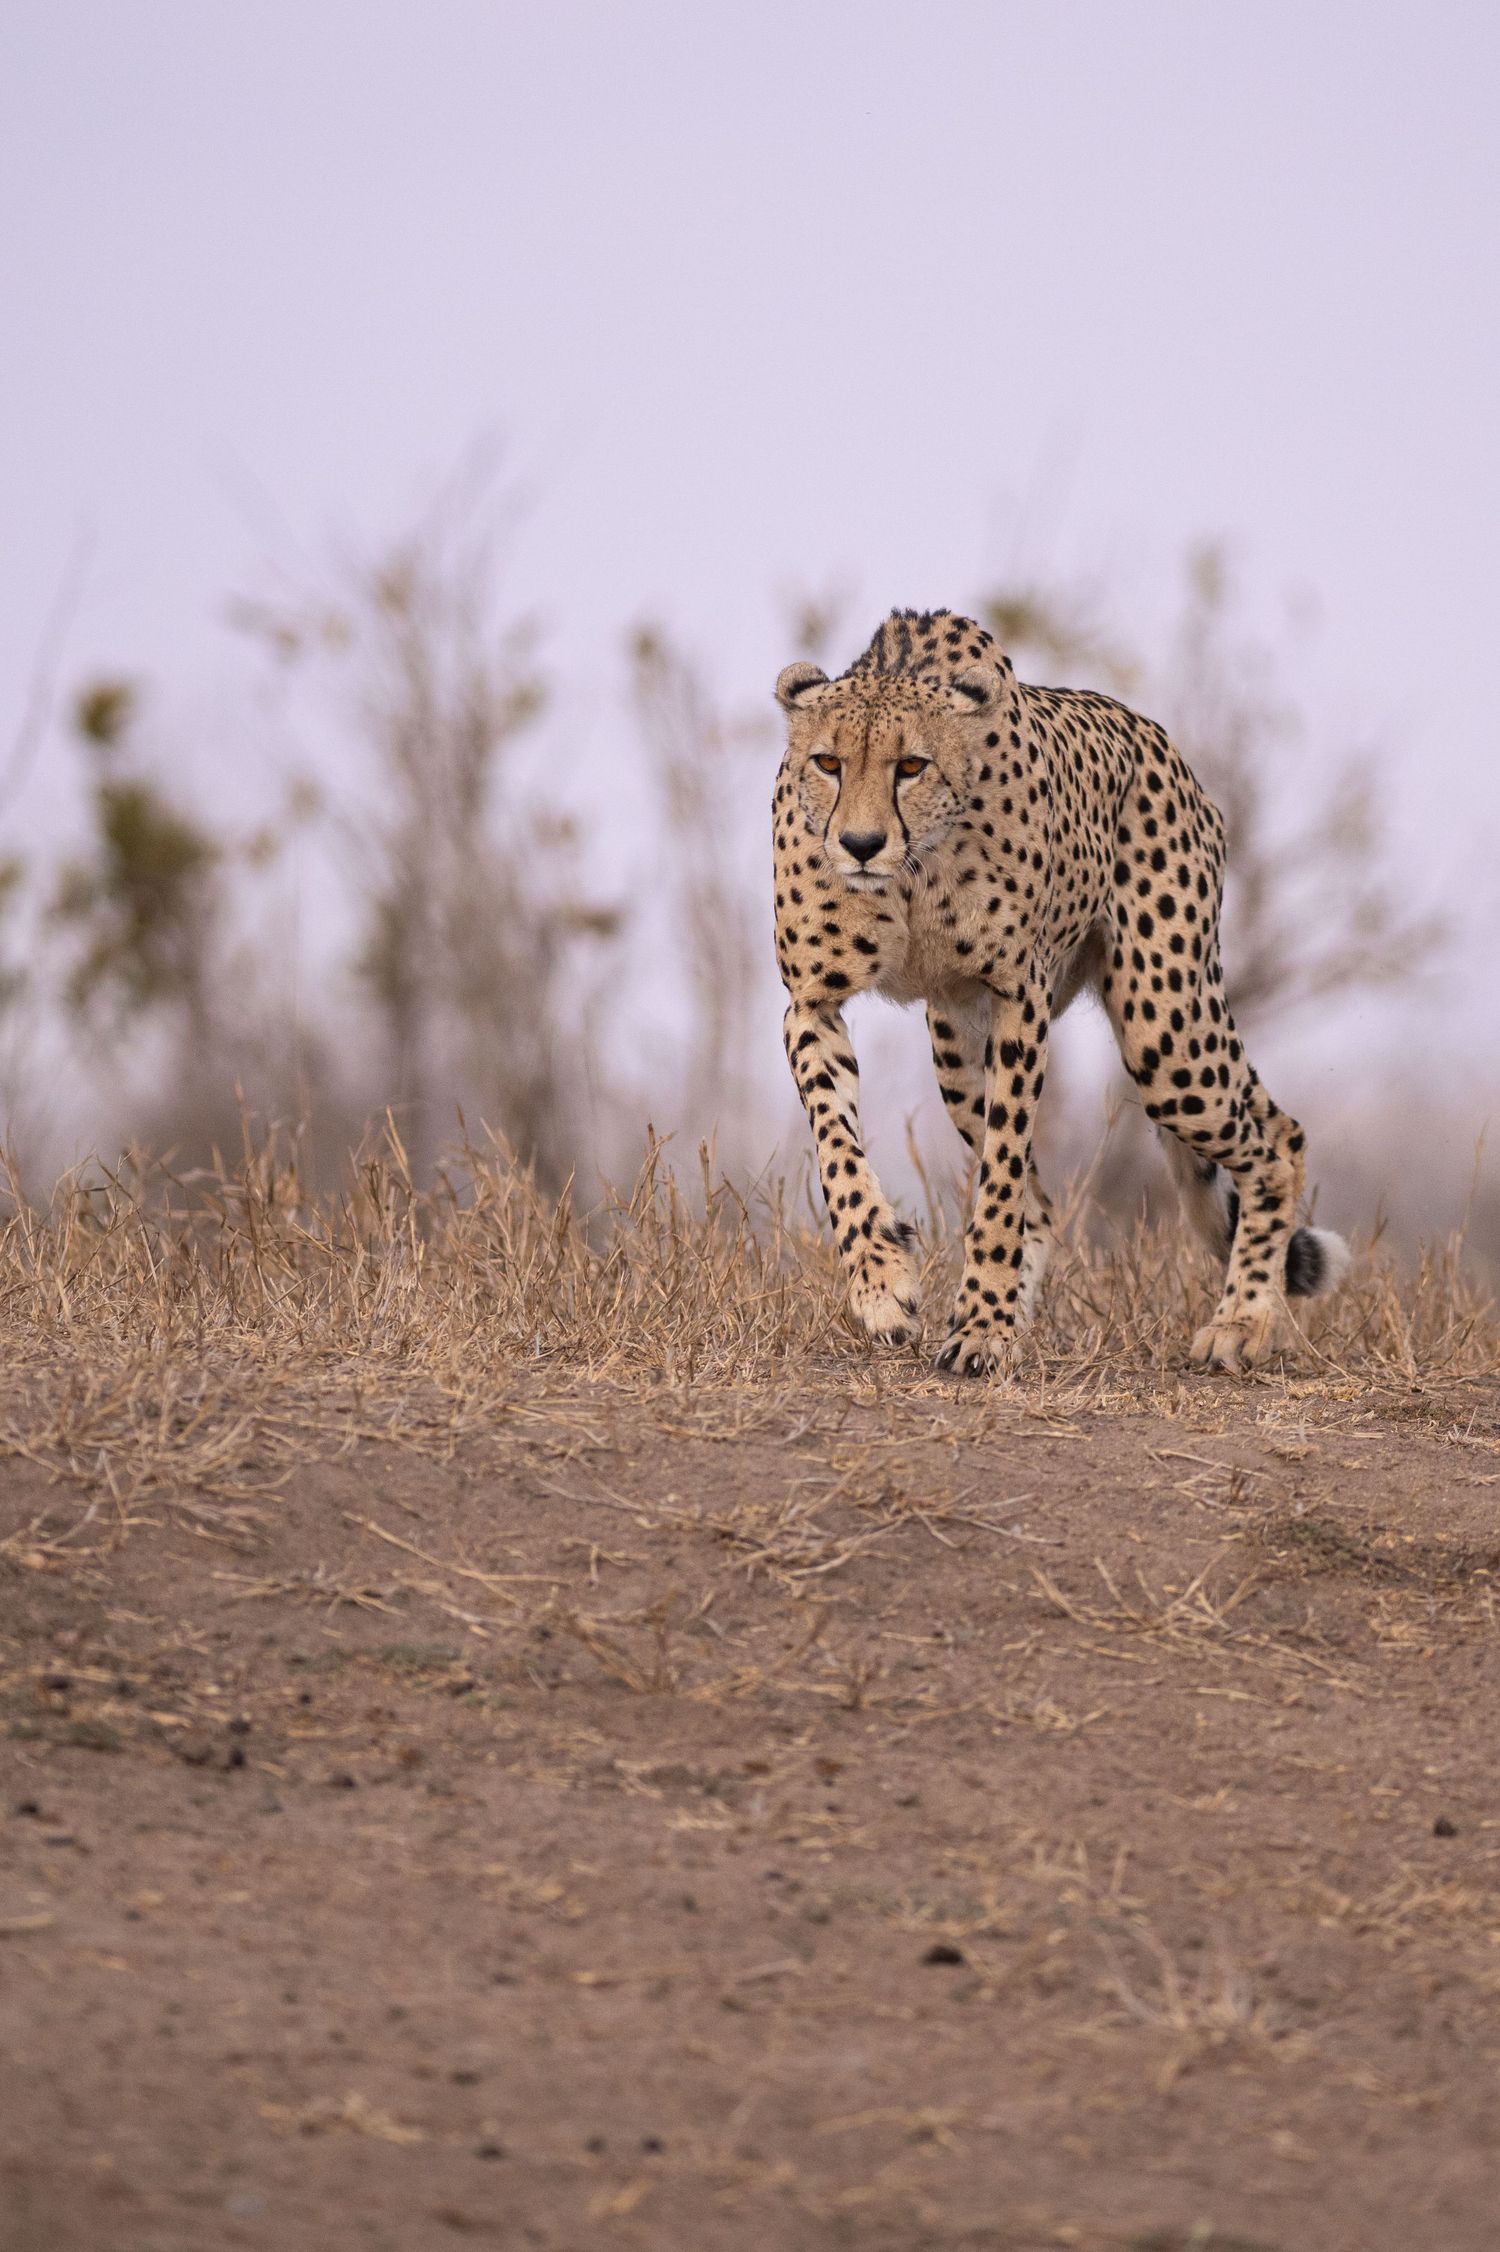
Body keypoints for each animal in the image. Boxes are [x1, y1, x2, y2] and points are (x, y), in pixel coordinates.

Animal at [772, 607, 1350, 1377]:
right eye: (827, 763)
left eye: (911, 766)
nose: (860, 844)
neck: (914, 872)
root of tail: (1164, 747)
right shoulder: (811, 1002)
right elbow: (838, 1149)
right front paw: (883, 1284)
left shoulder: (1020, 1000)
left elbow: (999, 1183)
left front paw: (982, 1329)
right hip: (959, 1048)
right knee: (1043, 1204)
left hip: (1165, 1029)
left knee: (1276, 1140)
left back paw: (1244, 1321)